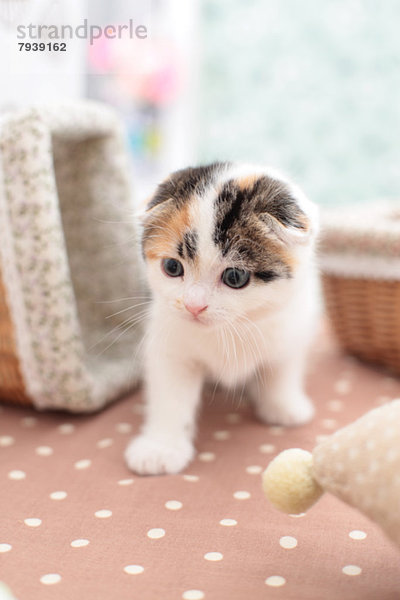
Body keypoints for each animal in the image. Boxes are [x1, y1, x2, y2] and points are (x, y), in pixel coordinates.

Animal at [125, 162, 318, 476]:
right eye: (172, 267)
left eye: (235, 277)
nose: (194, 306)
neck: (230, 328)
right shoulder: (169, 344)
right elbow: (170, 395)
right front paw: (160, 448)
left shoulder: (292, 325)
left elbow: (281, 368)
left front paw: (283, 406)